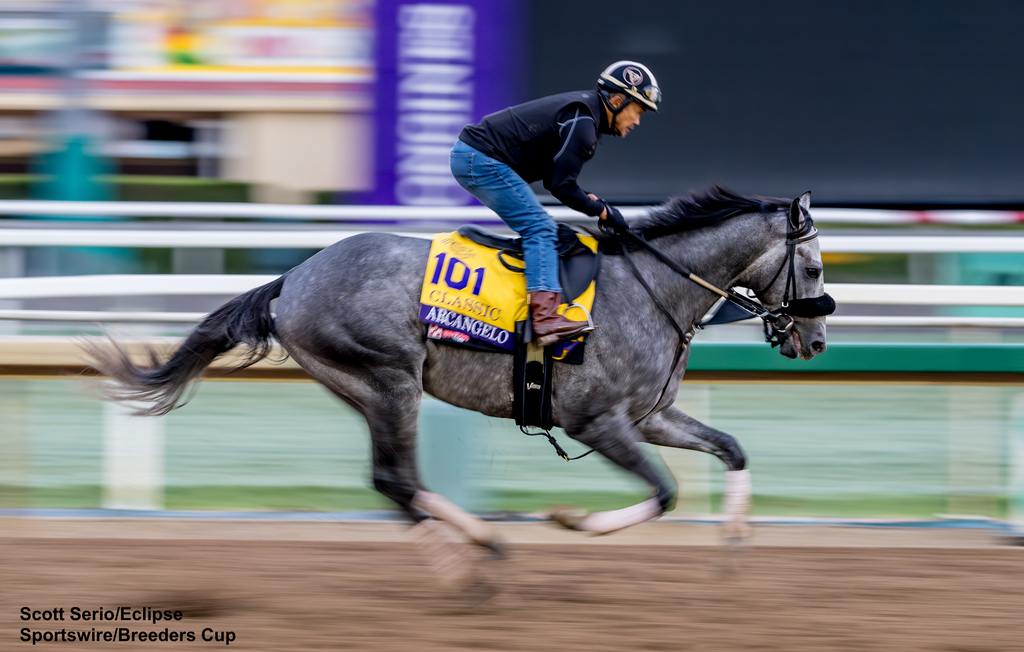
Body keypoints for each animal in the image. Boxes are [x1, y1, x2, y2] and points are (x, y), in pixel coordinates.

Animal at [88, 188, 831, 560]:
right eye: (816, 266)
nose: (817, 339)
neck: (652, 286)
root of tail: (292, 279)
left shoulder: (651, 416)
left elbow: (730, 448)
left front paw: (736, 532)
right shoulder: (598, 421)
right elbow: (665, 491)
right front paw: (573, 522)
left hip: (365, 385)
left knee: (395, 484)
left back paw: (471, 544)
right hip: (390, 377)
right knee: (397, 479)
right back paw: (476, 553)